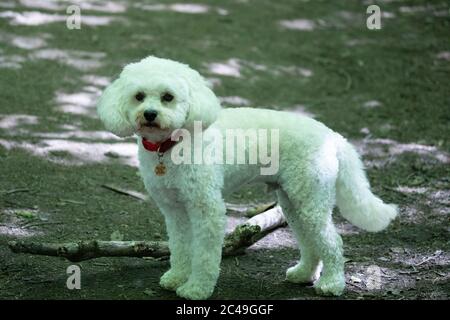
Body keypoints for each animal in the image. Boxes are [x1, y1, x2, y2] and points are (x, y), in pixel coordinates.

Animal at [97, 57, 398, 300]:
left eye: (167, 97)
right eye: (139, 96)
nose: (149, 114)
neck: (171, 145)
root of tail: (332, 136)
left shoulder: (208, 209)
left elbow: (204, 254)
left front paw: (196, 289)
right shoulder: (174, 210)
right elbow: (181, 246)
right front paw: (176, 277)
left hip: (311, 199)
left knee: (332, 242)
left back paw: (332, 284)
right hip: (293, 202)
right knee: (310, 242)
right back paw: (304, 274)